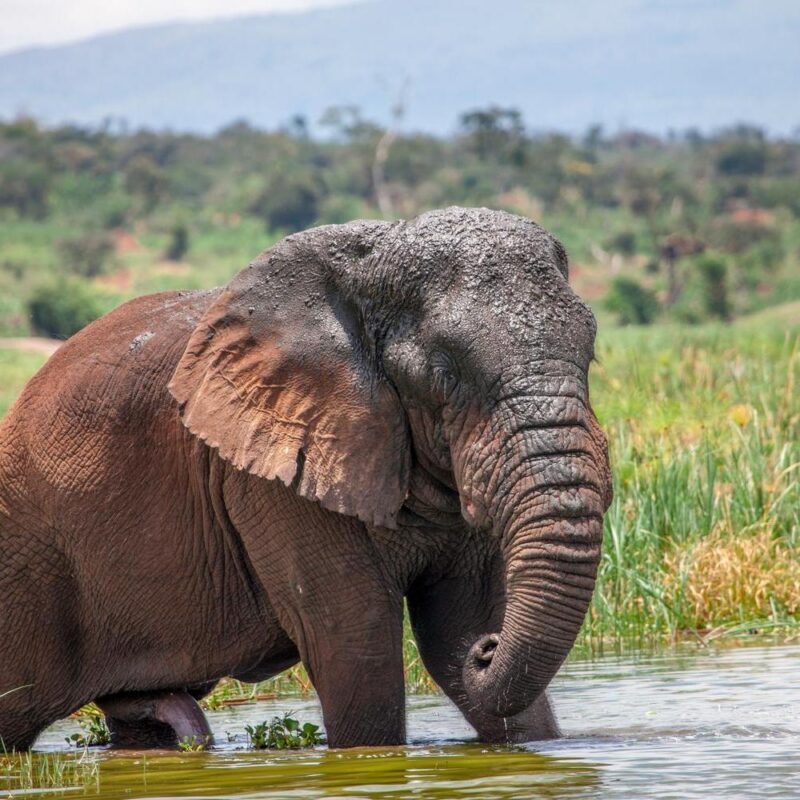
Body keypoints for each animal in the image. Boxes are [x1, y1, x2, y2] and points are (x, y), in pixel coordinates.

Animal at [0, 206, 611, 750]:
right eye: (443, 373)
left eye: (591, 354)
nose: (489, 648)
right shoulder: (272, 476)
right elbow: (356, 641)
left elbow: (456, 629)